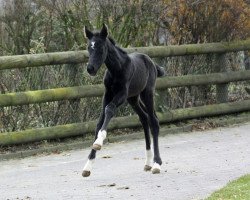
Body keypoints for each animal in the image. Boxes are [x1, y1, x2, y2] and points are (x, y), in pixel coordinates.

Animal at [81, 24, 165, 177]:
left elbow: (109, 109)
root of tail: (151, 62)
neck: (117, 69)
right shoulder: (108, 94)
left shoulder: (121, 94)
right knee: (144, 118)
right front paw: (87, 167)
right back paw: (148, 162)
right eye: (89, 47)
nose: (90, 68)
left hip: (147, 93)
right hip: (133, 98)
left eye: (101, 48)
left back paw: (156, 164)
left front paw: (100, 141)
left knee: (154, 121)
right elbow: (99, 121)